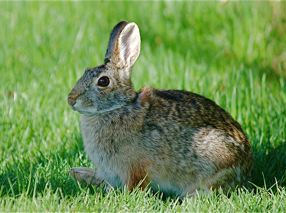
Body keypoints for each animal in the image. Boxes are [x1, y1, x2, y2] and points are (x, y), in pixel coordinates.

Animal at [67, 20, 252, 197]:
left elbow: (135, 185)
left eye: (103, 81)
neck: (118, 107)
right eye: (85, 72)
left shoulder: (134, 168)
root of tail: (246, 164)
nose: (71, 99)